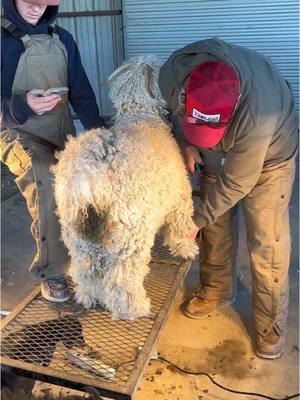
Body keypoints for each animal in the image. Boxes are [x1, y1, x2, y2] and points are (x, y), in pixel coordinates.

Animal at [52, 55, 198, 318]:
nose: (184, 94)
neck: (141, 114)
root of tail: (88, 173)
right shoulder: (180, 196)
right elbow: (181, 224)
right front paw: (186, 248)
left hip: (77, 235)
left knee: (86, 269)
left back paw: (88, 296)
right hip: (129, 234)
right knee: (123, 277)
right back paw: (134, 308)